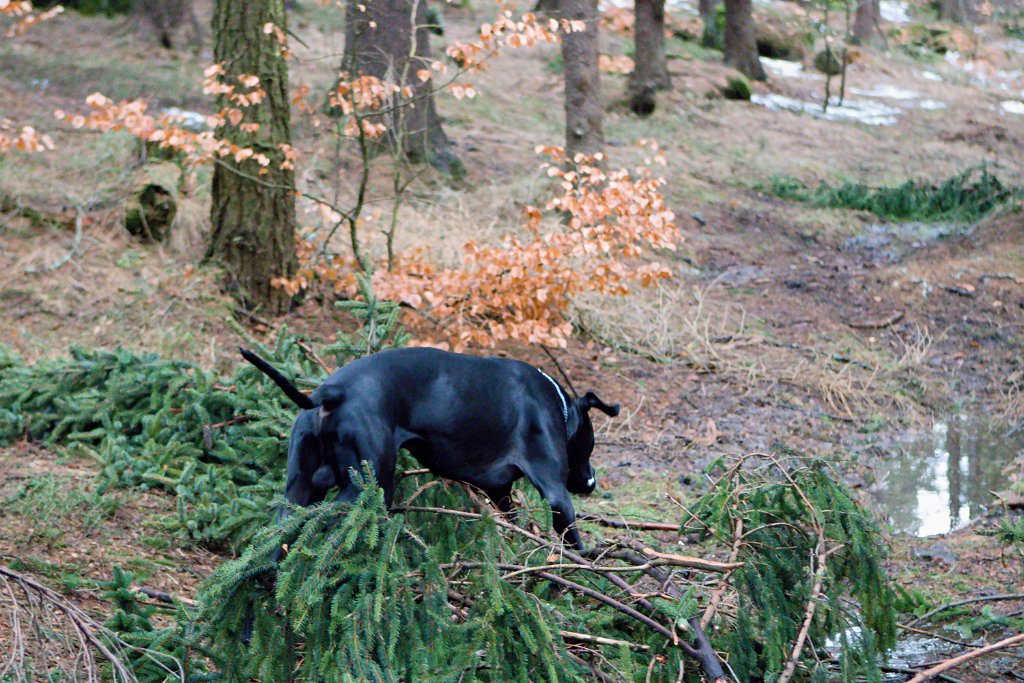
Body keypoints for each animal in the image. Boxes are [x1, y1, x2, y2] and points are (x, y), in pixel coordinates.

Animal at [243, 348, 618, 548]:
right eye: (589, 444)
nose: (591, 482)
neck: (556, 403)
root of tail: (333, 392)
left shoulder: (499, 491)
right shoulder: (556, 493)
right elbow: (573, 539)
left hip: (299, 489)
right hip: (368, 486)